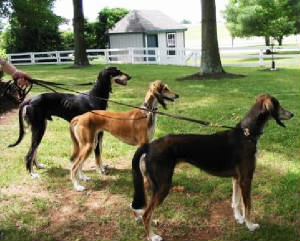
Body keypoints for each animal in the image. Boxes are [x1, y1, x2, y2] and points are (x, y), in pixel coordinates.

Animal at [130, 93, 292, 241]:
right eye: (277, 105)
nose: (292, 114)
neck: (246, 134)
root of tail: (150, 145)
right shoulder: (246, 178)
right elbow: (248, 205)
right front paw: (250, 225)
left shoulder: (237, 178)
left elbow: (236, 201)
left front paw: (239, 218)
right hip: (163, 185)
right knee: (147, 214)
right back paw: (152, 236)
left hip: (152, 184)